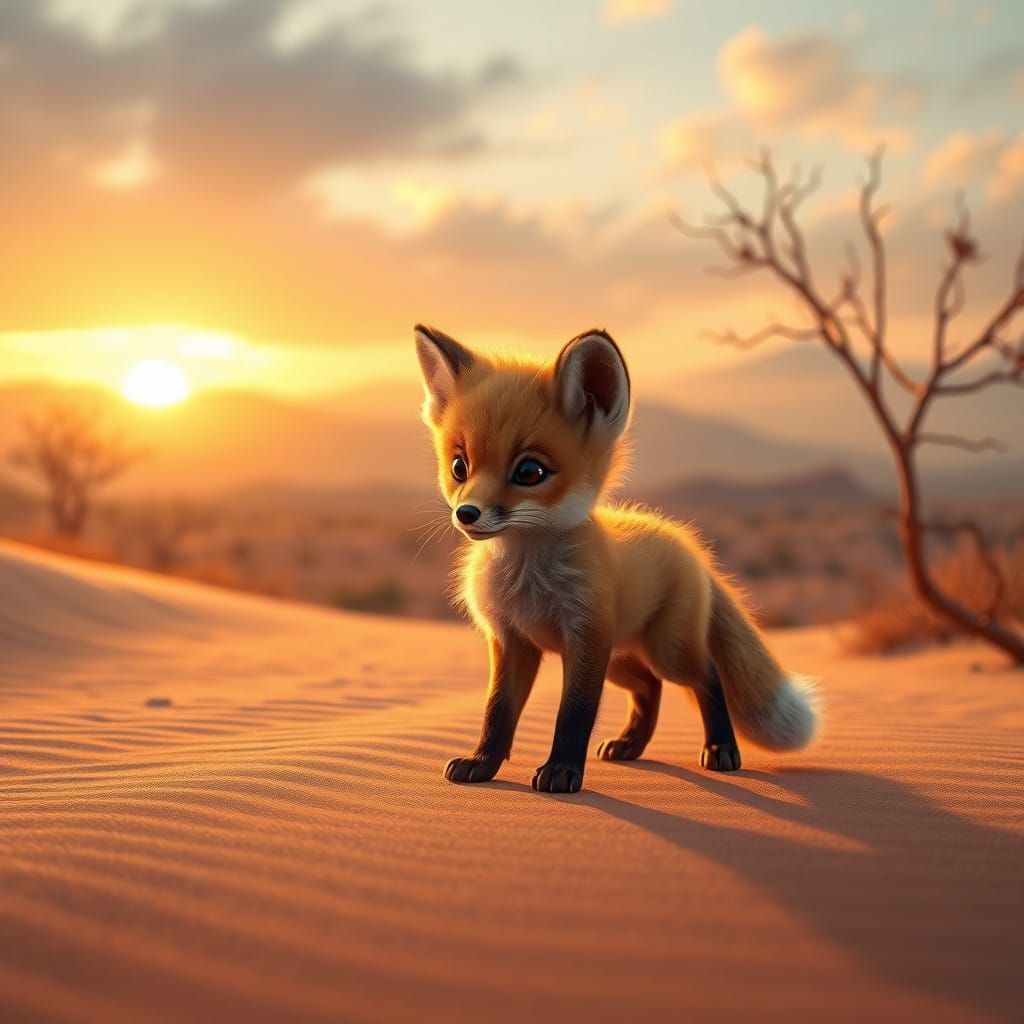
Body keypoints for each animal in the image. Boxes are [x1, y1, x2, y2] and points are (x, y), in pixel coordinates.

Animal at [414, 323, 818, 794]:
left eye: (530, 472)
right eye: (459, 466)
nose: (467, 514)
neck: (526, 578)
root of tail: (689, 547)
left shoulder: (586, 639)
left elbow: (573, 714)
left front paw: (562, 772)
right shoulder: (513, 640)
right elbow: (497, 710)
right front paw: (482, 763)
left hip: (664, 649)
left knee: (707, 676)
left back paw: (721, 749)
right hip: (622, 659)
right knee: (649, 688)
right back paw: (631, 745)